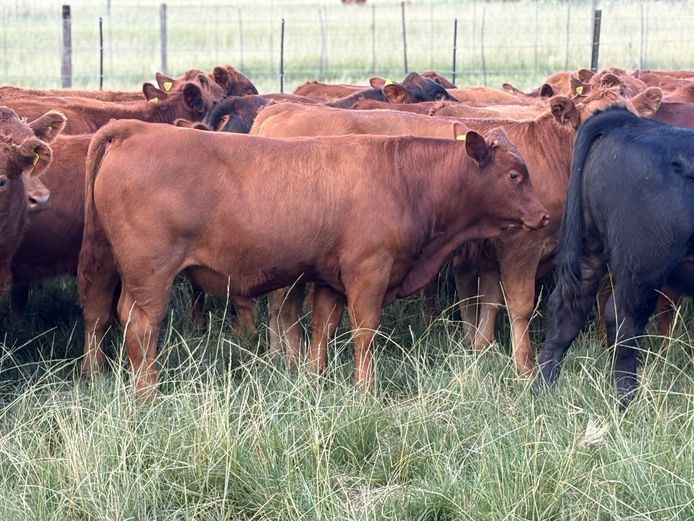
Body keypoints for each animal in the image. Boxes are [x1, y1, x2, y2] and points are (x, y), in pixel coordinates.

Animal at [77, 120, 548, 397]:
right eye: (514, 175)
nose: (543, 216)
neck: (405, 179)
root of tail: (135, 129)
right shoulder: (368, 272)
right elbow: (364, 332)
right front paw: (366, 390)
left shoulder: (329, 278)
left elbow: (322, 328)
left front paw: (314, 379)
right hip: (152, 275)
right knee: (142, 327)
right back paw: (148, 394)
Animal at [535, 106, 694, 408]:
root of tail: (629, 121)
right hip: (642, 267)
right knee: (622, 320)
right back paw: (626, 400)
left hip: (588, 247)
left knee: (567, 308)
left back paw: (541, 388)